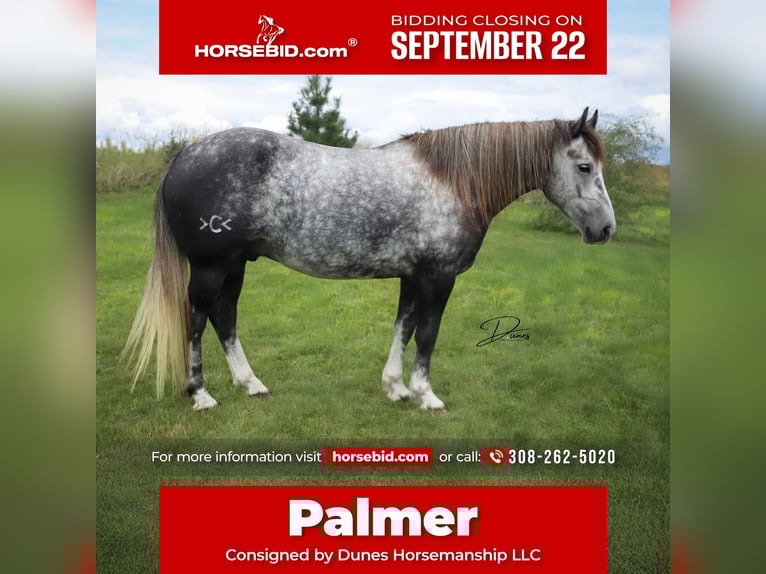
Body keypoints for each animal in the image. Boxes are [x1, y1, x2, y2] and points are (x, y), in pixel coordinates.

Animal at [124, 108, 614, 411]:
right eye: (585, 167)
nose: (606, 230)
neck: (452, 181)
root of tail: (184, 155)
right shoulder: (438, 278)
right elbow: (428, 335)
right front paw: (426, 395)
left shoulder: (412, 277)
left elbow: (403, 327)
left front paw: (395, 388)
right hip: (211, 268)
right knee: (196, 319)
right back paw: (201, 394)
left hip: (237, 266)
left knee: (224, 317)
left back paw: (251, 385)